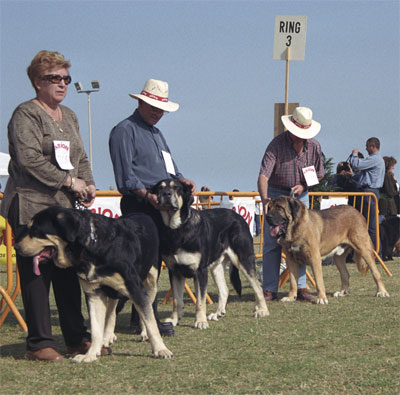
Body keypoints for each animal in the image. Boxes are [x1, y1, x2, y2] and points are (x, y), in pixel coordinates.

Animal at [14, 209, 172, 364]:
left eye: (35, 230)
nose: (15, 246)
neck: (92, 247)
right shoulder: (94, 293)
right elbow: (96, 329)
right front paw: (90, 354)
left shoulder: (135, 289)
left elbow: (150, 321)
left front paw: (161, 349)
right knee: (111, 311)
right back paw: (107, 336)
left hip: (151, 281)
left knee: (148, 308)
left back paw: (144, 333)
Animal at [152, 178, 270, 330]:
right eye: (159, 189)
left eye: (176, 188)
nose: (166, 194)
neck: (177, 228)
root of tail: (238, 216)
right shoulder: (174, 271)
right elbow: (177, 300)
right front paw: (173, 320)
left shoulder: (200, 271)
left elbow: (200, 301)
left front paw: (200, 321)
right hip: (216, 266)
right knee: (224, 290)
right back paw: (218, 313)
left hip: (243, 259)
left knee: (257, 286)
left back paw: (262, 310)